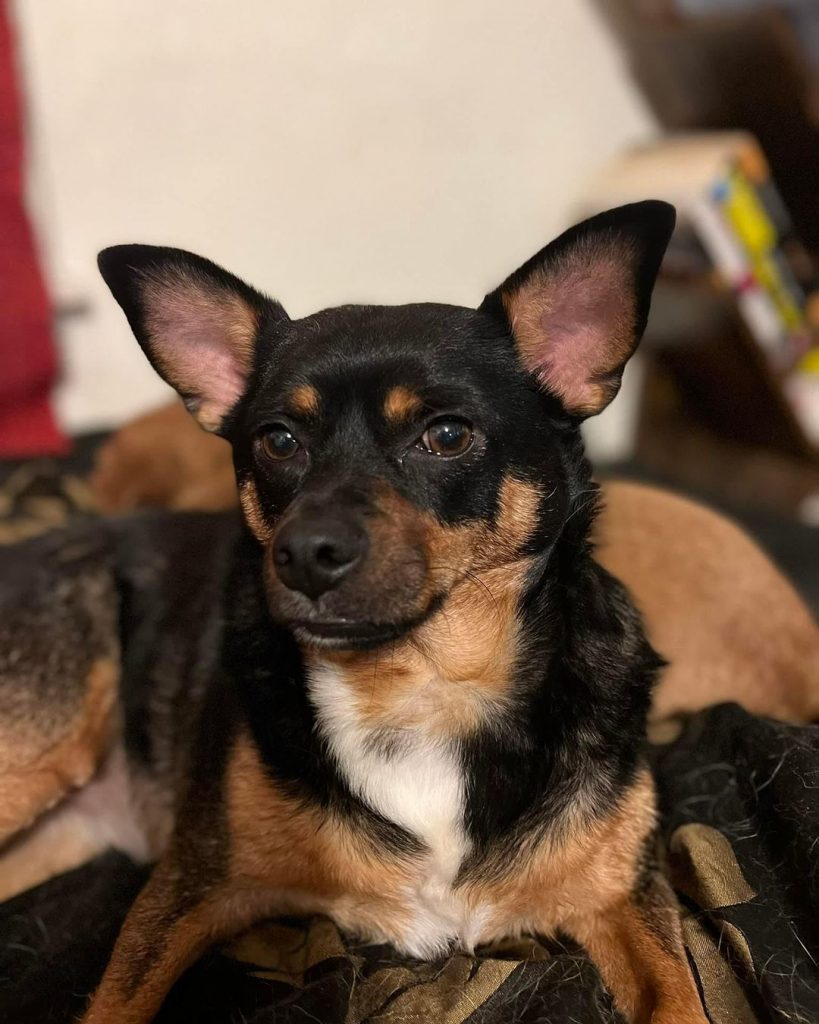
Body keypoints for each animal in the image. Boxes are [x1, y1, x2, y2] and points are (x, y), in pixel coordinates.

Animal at [1, 201, 708, 1024]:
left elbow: (684, 999)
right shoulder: (186, 888)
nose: (304, 554)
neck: (422, 688)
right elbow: (116, 1000)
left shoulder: (627, 895)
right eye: (277, 441)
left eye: (446, 435)